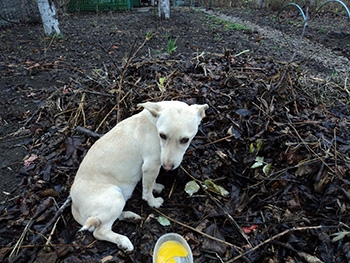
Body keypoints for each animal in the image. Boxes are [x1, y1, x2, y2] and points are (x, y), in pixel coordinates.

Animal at [70, 101, 209, 254]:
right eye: (162, 135)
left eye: (185, 140)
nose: (167, 167)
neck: (154, 123)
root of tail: (75, 208)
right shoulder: (151, 165)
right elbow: (147, 190)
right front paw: (153, 202)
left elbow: (150, 183)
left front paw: (156, 187)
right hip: (115, 197)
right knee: (100, 231)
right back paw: (124, 241)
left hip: (118, 200)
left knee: (104, 220)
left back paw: (129, 216)